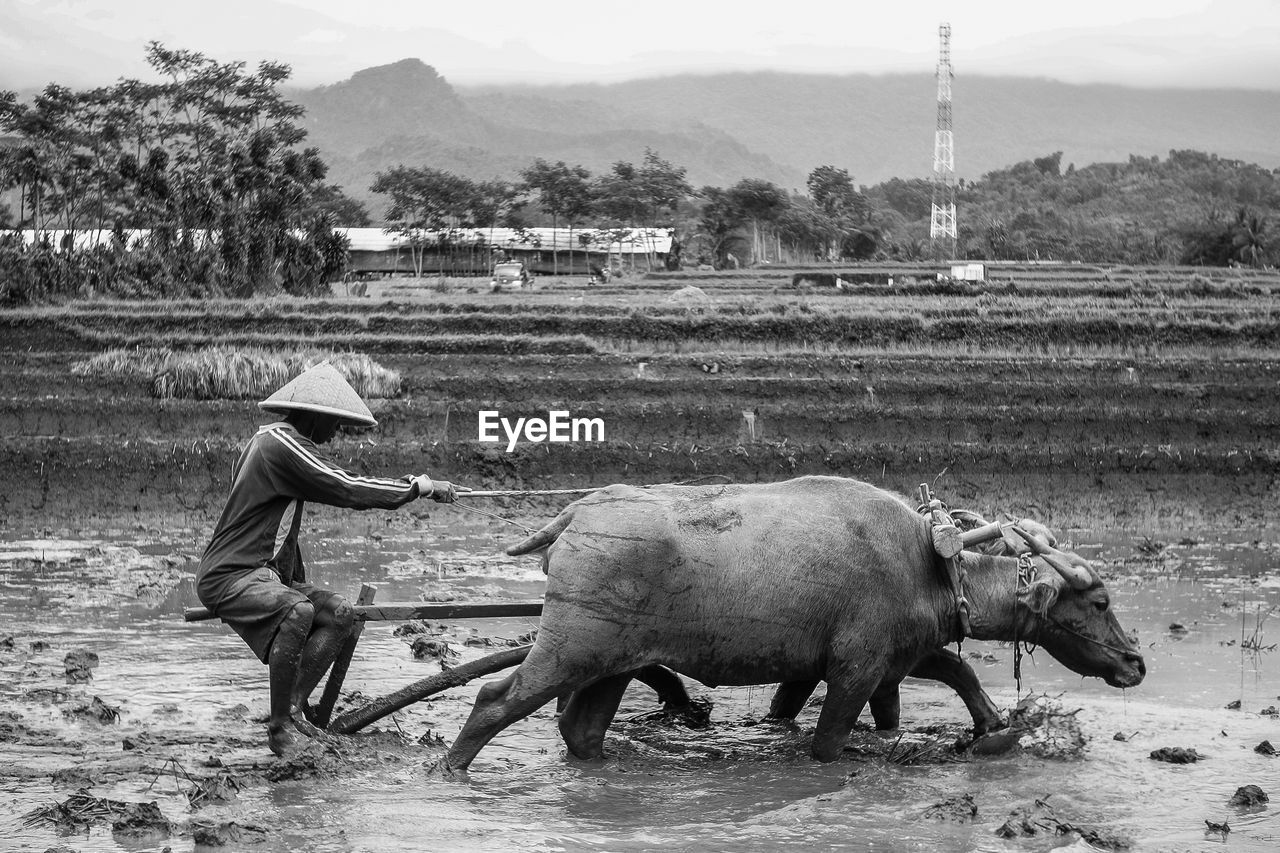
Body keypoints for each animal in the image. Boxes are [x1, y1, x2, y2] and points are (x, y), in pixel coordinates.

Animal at [437, 473, 1141, 768]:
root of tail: (575, 516)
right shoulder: (855, 670)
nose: (1135, 663)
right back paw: (450, 768)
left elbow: (957, 676)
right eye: (1100, 602)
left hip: (613, 662)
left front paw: (994, 728)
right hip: (568, 650)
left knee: (580, 731)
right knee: (495, 698)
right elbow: (827, 743)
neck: (928, 563)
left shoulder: (877, 661)